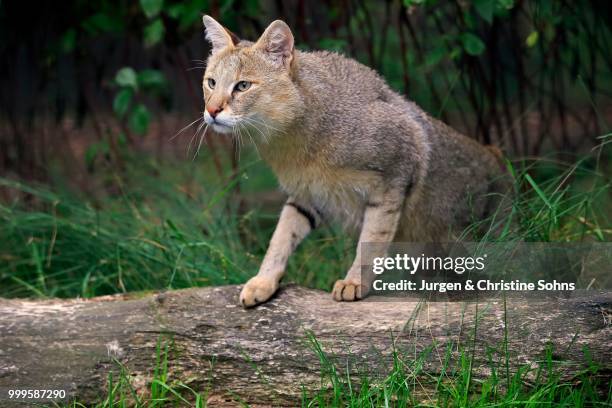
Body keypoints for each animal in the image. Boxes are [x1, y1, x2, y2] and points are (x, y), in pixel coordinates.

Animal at [200, 15, 506, 308]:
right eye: (211, 82)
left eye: (242, 86)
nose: (211, 111)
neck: (296, 136)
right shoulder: (306, 193)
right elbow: (281, 237)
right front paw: (264, 280)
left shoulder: (396, 174)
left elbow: (372, 238)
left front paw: (355, 282)